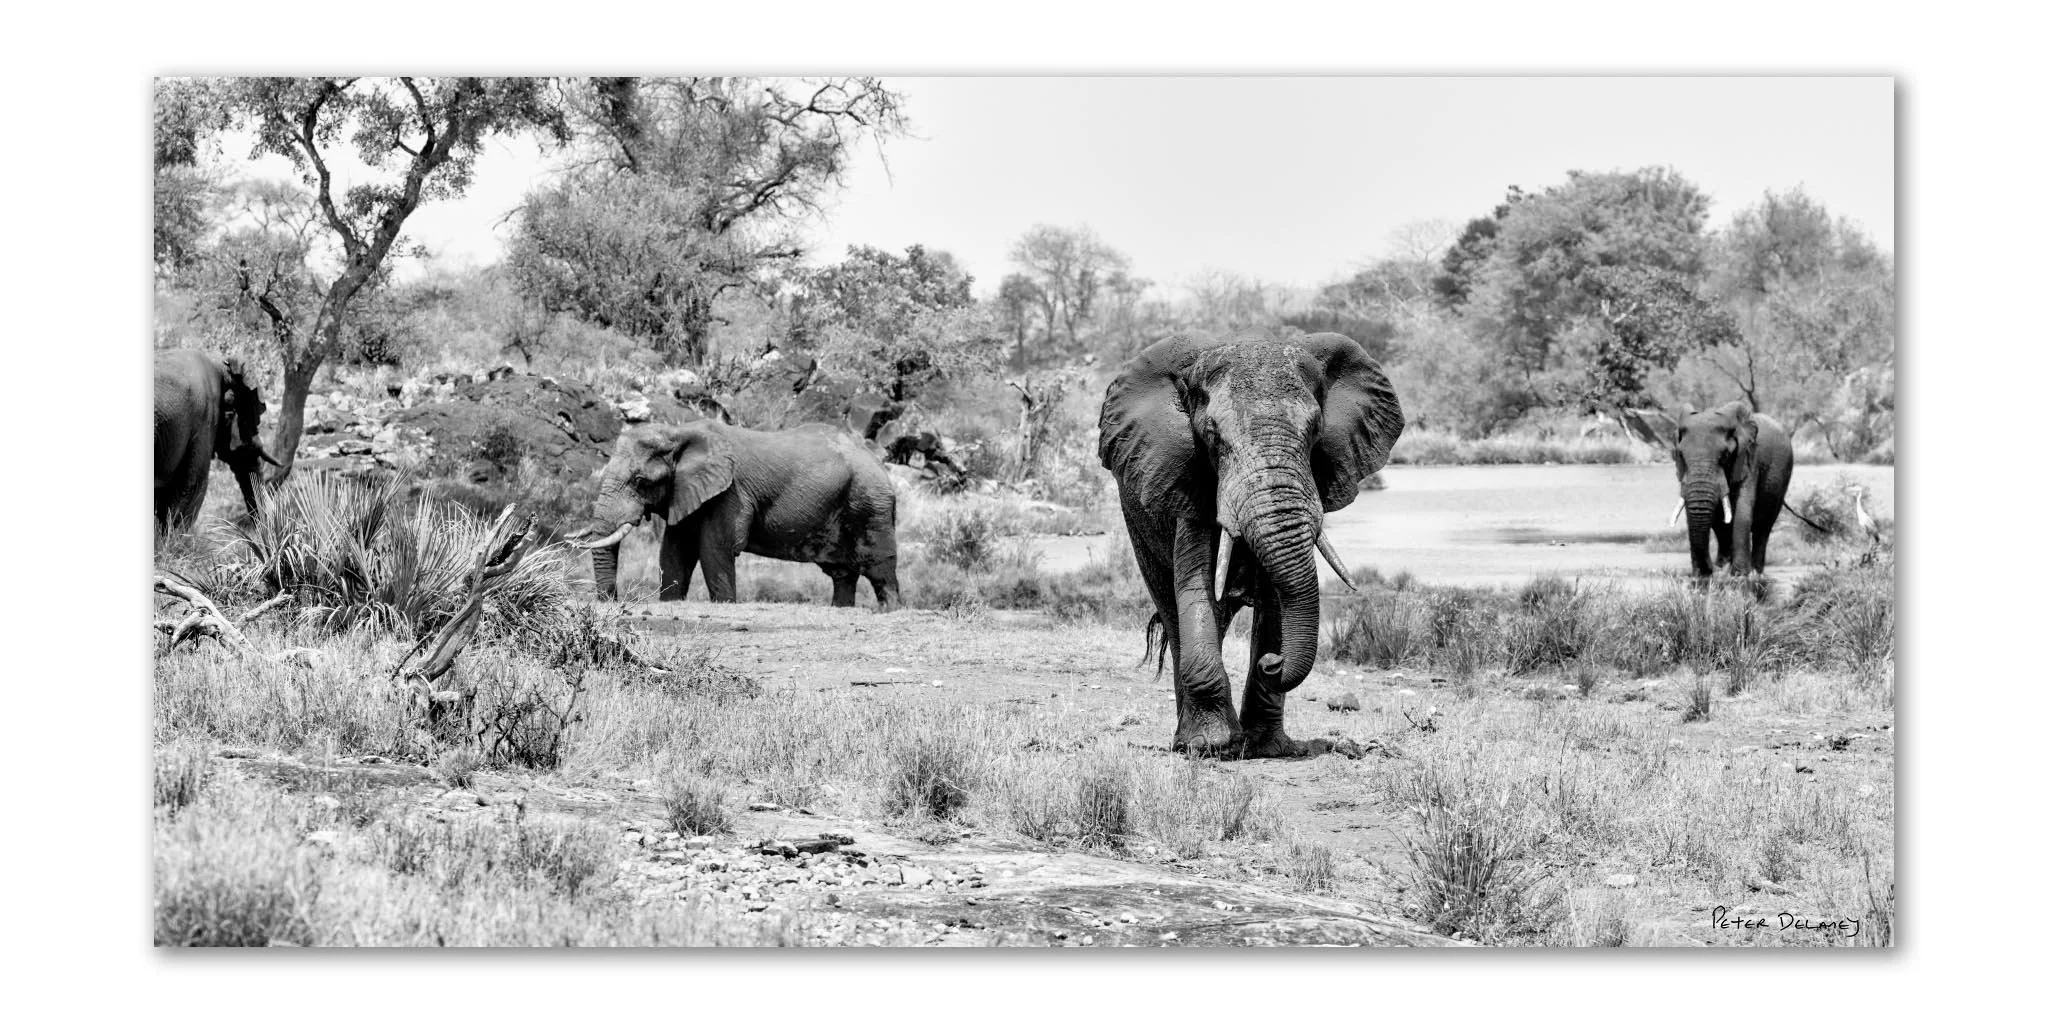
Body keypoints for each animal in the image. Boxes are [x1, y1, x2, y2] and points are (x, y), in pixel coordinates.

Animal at [568, 420, 901, 609]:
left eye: (640, 481)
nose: (612, 600)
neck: (678, 433)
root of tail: (877, 460)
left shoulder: (730, 492)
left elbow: (715, 548)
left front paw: (725, 604)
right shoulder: (688, 490)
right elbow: (675, 551)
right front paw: (671, 602)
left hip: (871, 503)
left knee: (879, 566)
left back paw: (890, 609)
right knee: (842, 573)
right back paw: (841, 610)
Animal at [1099, 328, 1404, 758]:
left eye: (1315, 430)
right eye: (1212, 435)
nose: (1273, 662)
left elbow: (1277, 600)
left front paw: (1266, 748)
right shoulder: (1190, 480)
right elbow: (1195, 585)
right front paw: (1211, 746)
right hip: (1137, 518)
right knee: (1173, 610)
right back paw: (1186, 740)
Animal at [1628, 401, 1795, 578]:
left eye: (1726, 455)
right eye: (1680, 455)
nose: (1711, 569)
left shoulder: (1748, 460)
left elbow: (1742, 511)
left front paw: (1739, 575)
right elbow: (1716, 519)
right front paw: (1714, 572)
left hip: (1783, 476)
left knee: (1764, 528)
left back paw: (1756, 573)